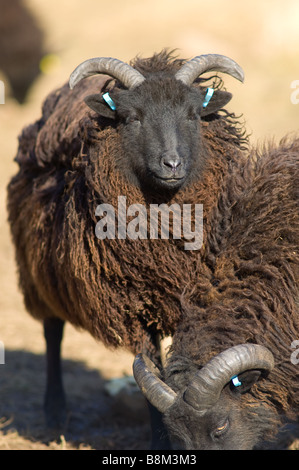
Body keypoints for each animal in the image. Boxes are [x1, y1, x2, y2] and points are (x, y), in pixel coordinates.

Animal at [7, 49, 250, 446]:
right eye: (133, 118)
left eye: (193, 114)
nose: (172, 164)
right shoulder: (135, 306)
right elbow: (150, 374)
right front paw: (161, 439)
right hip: (40, 269)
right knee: (52, 332)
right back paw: (55, 413)